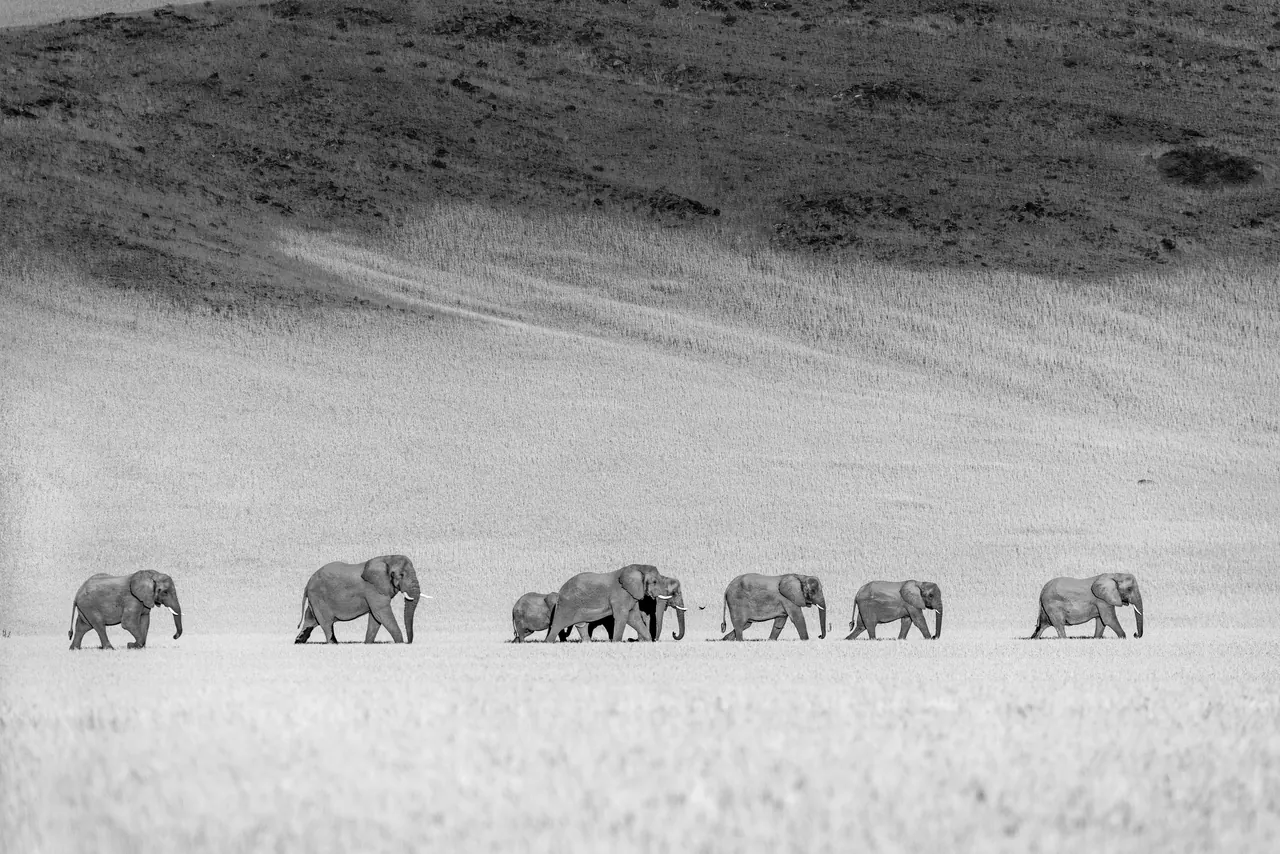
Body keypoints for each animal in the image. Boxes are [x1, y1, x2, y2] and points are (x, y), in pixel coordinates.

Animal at [545, 564, 686, 643]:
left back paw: (587, 643)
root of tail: (560, 590)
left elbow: (634, 618)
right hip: (567, 604)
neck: (637, 568)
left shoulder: (631, 594)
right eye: (655, 582)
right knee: (558, 625)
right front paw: (616, 642)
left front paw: (647, 641)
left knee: (581, 625)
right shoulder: (620, 595)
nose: (673, 633)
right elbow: (622, 617)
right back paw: (548, 642)